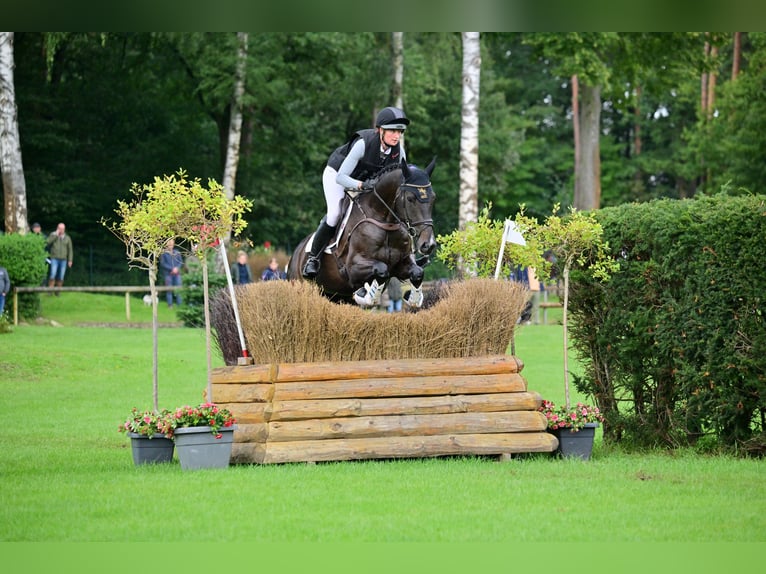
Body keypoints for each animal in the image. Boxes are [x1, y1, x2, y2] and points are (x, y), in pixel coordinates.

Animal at [286, 159, 438, 306]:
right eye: (410, 198)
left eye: (433, 198)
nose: (428, 244)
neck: (385, 223)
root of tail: (294, 255)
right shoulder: (352, 269)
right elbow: (382, 269)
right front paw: (368, 295)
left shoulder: (401, 264)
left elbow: (417, 272)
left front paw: (413, 298)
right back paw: (311, 266)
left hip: (336, 296)